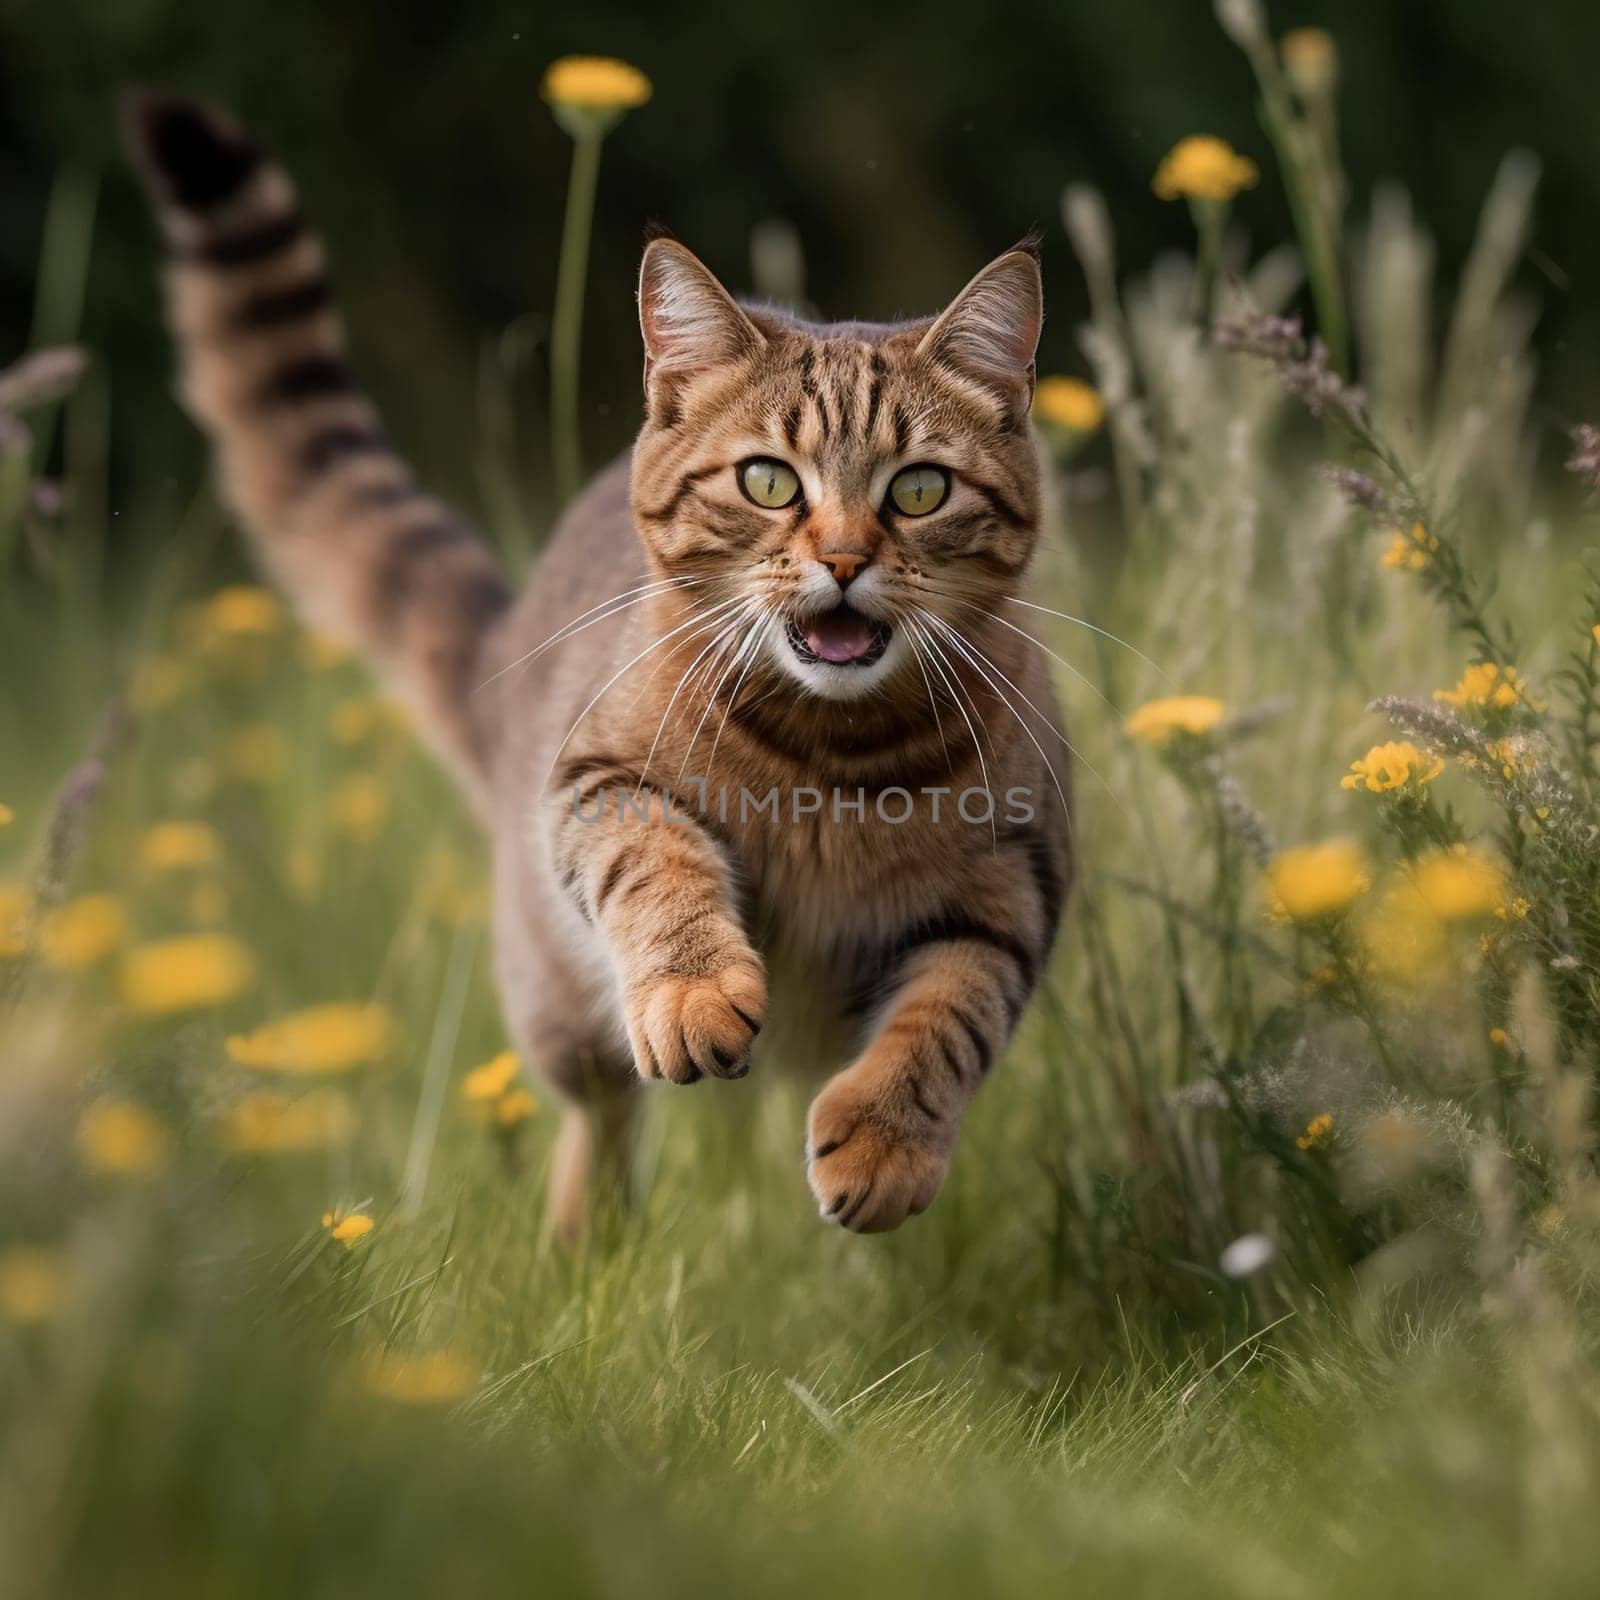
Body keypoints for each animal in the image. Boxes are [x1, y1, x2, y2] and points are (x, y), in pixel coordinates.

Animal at [128, 96, 1075, 1235]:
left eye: (920, 490)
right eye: (768, 480)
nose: (845, 559)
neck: (831, 758)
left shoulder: (1016, 879)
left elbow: (948, 1014)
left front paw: (882, 1143)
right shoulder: (596, 781)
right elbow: (657, 864)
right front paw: (693, 991)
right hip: (553, 989)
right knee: (600, 1112)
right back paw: (588, 1239)